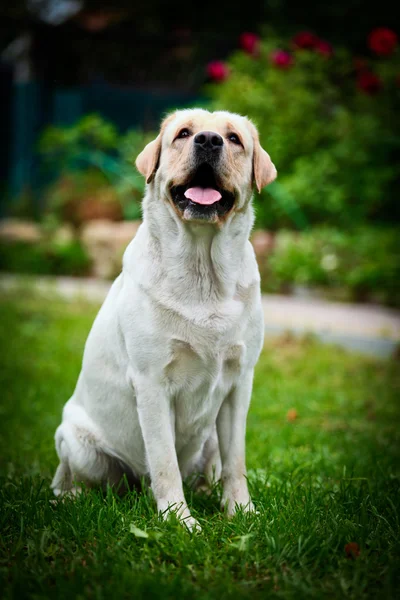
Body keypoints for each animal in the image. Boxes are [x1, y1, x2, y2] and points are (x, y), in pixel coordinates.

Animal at [51, 108, 276, 528]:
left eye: (234, 139)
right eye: (183, 134)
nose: (208, 140)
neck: (203, 271)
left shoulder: (240, 382)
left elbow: (236, 461)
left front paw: (241, 511)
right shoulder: (152, 383)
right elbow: (164, 461)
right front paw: (180, 522)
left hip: (209, 439)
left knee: (209, 469)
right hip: (76, 442)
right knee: (79, 482)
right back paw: (71, 498)